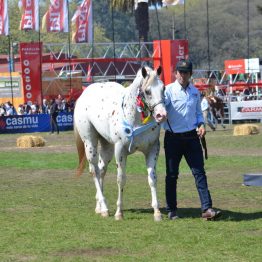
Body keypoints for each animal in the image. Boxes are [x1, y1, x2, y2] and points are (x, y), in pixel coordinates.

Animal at [73, 66, 167, 221]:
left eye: (163, 88)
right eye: (147, 91)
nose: (161, 115)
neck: (134, 117)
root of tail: (84, 94)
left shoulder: (153, 149)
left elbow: (152, 178)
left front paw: (157, 212)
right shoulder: (120, 150)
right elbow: (121, 179)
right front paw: (119, 212)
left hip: (107, 146)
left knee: (101, 170)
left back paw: (100, 206)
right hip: (90, 144)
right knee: (94, 171)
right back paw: (104, 207)